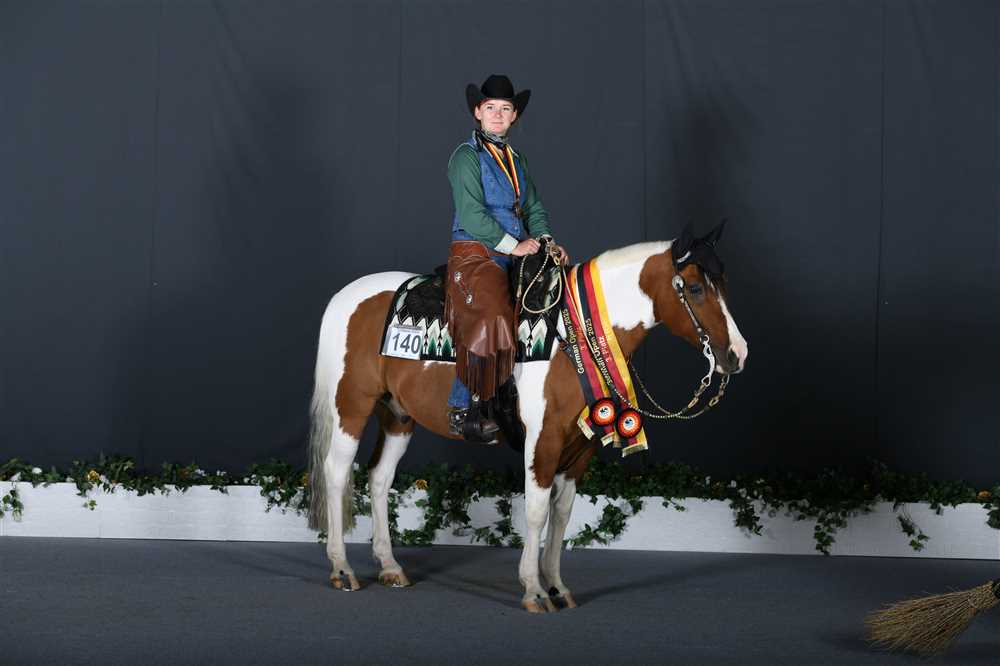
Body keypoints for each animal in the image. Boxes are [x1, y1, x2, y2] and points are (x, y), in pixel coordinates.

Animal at [305, 223, 748, 612]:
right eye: (695, 289)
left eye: (725, 284)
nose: (737, 355)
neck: (574, 333)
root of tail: (344, 297)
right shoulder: (543, 441)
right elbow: (536, 512)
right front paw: (534, 590)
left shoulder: (580, 446)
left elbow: (563, 513)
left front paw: (557, 587)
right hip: (351, 406)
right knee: (337, 473)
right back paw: (341, 568)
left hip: (398, 415)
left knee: (380, 478)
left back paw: (390, 566)